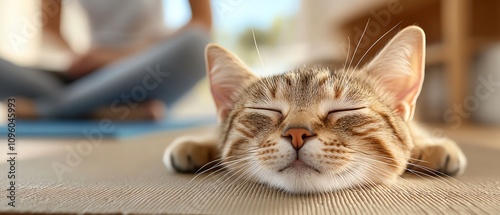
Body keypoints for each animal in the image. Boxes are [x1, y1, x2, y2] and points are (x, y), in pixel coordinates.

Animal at [162, 26, 466, 193]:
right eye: (267, 109)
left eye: (343, 110)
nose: (297, 133)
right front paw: (198, 144)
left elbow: (417, 134)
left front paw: (431, 146)